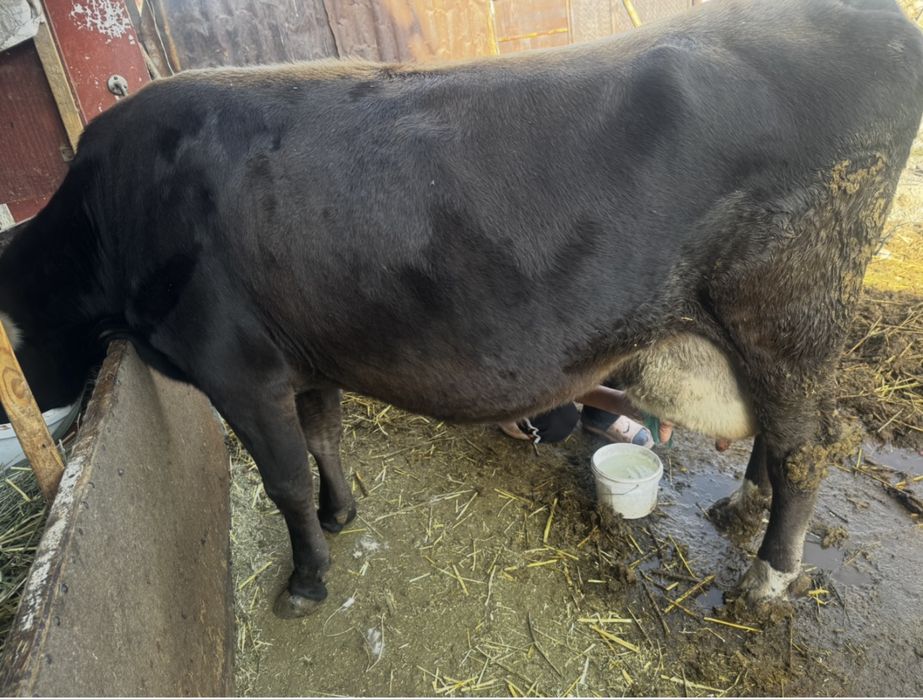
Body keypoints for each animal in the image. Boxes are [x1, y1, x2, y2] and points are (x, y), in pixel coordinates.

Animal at [0, 0, 921, 618]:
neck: (107, 218)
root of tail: (873, 19)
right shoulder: (302, 354)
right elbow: (324, 437)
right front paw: (341, 513)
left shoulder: (237, 368)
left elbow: (284, 477)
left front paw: (306, 577)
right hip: (765, 333)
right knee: (781, 432)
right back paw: (741, 507)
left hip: (787, 309)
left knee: (811, 444)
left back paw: (767, 575)